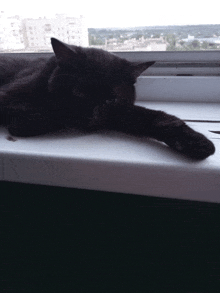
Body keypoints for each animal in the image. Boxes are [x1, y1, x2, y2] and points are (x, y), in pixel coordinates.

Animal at [0, 38, 215, 160]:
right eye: (78, 92)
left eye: (110, 100)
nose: (91, 118)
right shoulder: (11, 101)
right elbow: (55, 115)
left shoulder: (119, 110)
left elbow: (157, 117)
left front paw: (196, 141)